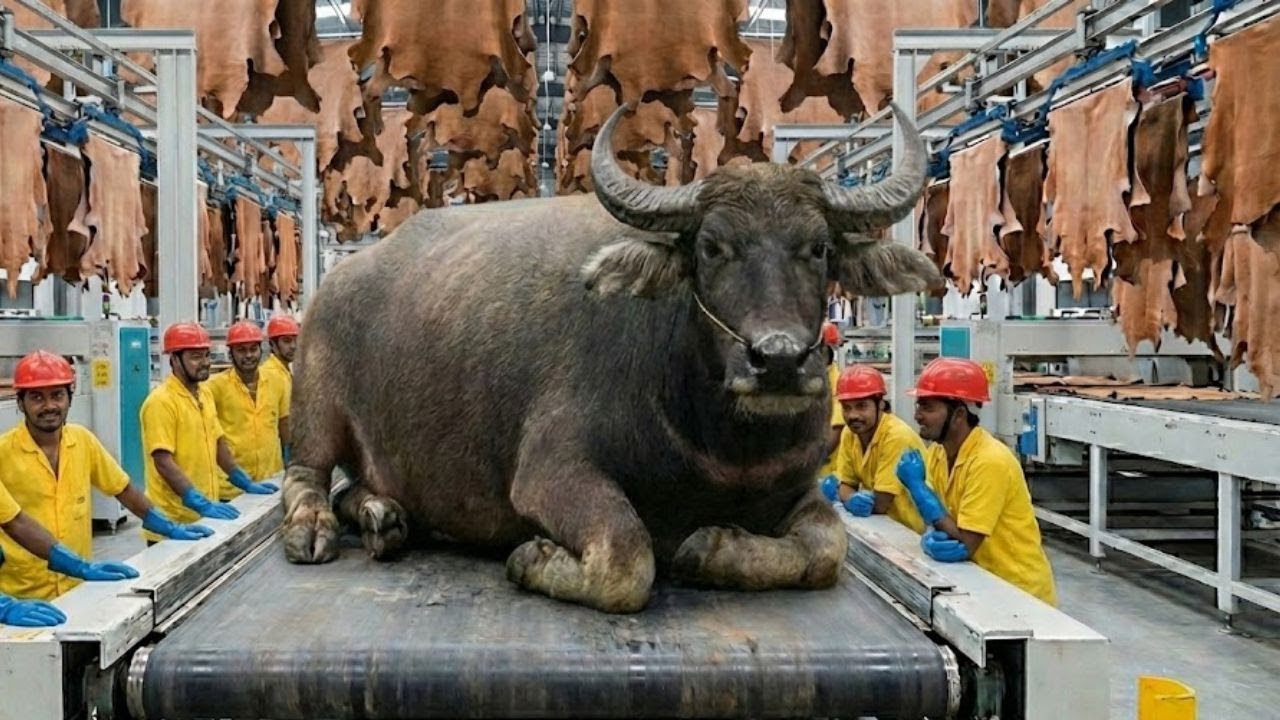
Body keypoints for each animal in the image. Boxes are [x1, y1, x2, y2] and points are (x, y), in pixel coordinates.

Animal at [281, 104, 940, 613]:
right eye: (711, 247)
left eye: (819, 247)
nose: (776, 360)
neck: (726, 446)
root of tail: (340, 280)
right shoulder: (551, 471)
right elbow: (627, 557)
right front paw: (533, 557)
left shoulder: (798, 486)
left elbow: (828, 551)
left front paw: (713, 549)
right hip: (315, 403)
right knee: (307, 475)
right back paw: (314, 530)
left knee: (354, 488)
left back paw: (382, 517)